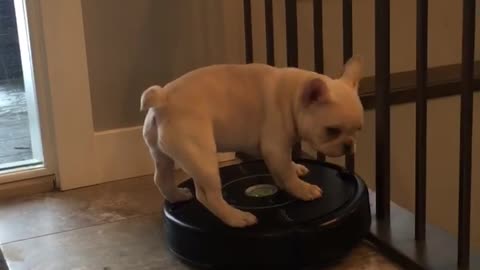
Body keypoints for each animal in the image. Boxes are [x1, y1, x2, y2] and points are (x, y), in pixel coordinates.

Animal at [142, 57, 364, 228]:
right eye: (332, 130)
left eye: (358, 130)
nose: (349, 145)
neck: (293, 97)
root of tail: (164, 98)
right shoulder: (275, 147)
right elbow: (286, 174)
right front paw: (302, 189)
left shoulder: (278, 150)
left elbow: (286, 166)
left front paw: (296, 168)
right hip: (202, 158)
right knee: (208, 196)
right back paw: (236, 218)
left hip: (161, 153)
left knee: (161, 178)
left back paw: (177, 196)